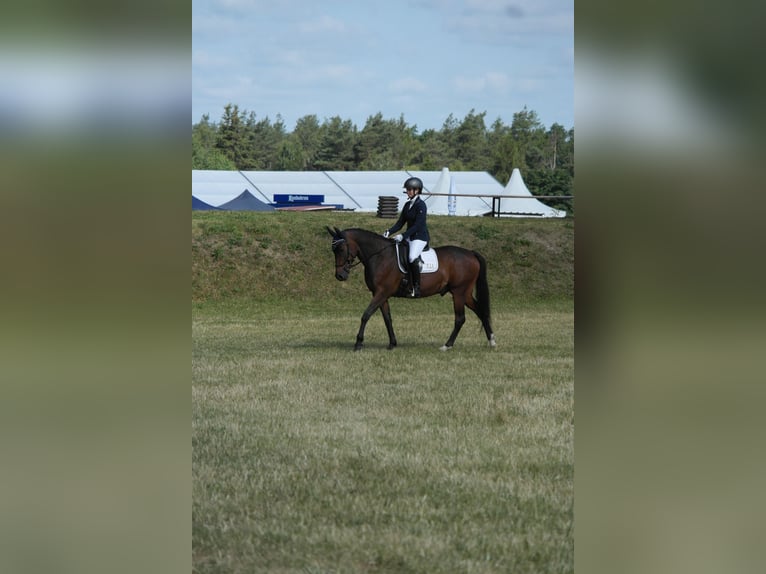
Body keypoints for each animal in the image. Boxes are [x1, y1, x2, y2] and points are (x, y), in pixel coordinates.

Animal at [326, 226, 496, 351]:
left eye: (341, 249)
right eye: (334, 250)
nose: (340, 276)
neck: (379, 256)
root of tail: (471, 253)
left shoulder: (382, 292)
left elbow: (366, 315)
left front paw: (358, 343)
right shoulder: (381, 294)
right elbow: (387, 318)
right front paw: (392, 343)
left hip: (458, 293)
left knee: (460, 318)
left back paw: (447, 345)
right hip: (465, 293)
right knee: (481, 312)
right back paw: (492, 341)